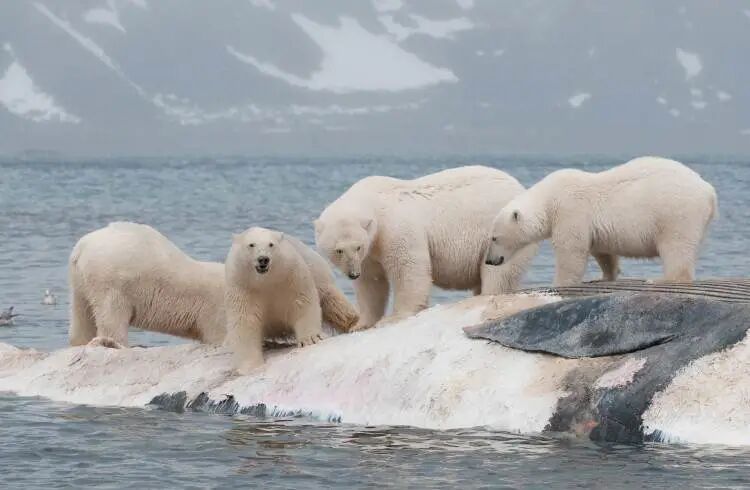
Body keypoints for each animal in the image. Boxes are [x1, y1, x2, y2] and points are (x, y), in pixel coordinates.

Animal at [68, 222, 358, 348]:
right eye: (328, 281)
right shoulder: (219, 311)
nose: (352, 317)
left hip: (79, 281)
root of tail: (81, 247)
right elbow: (224, 336)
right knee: (112, 313)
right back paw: (114, 343)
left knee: (83, 313)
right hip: (112, 278)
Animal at [226, 226, 326, 372]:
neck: (265, 281)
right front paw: (251, 365)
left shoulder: (292, 275)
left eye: (271, 244)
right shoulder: (242, 285)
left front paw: (311, 339)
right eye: (251, 244)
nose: (263, 259)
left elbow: (302, 302)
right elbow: (245, 321)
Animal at [314, 165, 536, 330]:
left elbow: (408, 267)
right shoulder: (371, 252)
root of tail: (520, 187)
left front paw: (395, 317)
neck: (374, 201)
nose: (353, 274)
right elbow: (372, 282)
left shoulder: (395, 227)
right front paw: (361, 324)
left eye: (357, 247)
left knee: (498, 272)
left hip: (504, 234)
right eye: (339, 250)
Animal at [484, 157, 720, 286]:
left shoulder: (570, 210)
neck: (549, 198)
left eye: (494, 238)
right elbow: (602, 252)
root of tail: (709, 191)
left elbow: (571, 252)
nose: (490, 261)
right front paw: (602, 277)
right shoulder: (593, 225)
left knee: (675, 246)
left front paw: (558, 282)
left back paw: (660, 279)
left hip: (675, 212)